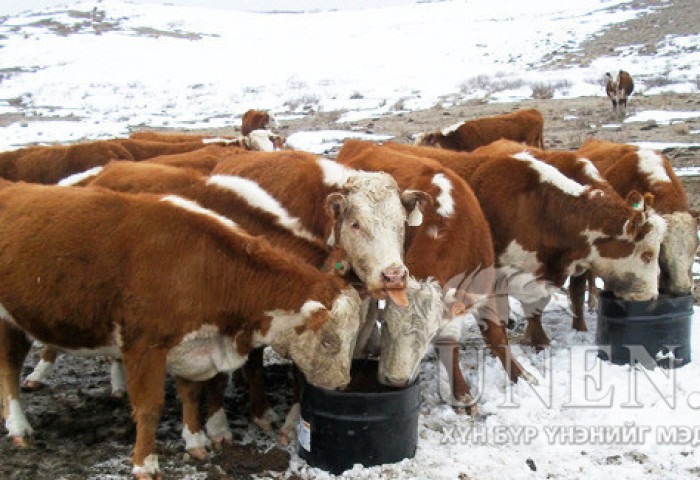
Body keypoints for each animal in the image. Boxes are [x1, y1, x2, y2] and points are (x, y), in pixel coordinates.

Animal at [0, 182, 360, 478]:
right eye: (329, 342)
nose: (342, 386)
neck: (201, 265)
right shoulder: (144, 346)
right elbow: (150, 408)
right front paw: (145, 464)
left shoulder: (192, 345)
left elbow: (192, 393)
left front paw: (196, 440)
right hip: (7, 322)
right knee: (10, 372)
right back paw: (19, 427)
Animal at [336, 140, 532, 412]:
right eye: (387, 326)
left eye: (429, 335)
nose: (396, 381)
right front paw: (463, 394)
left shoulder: (479, 289)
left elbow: (494, 336)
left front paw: (521, 375)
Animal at [378, 141, 668, 346]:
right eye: (646, 254)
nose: (652, 297)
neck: (541, 208)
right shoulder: (503, 271)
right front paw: (536, 340)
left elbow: (550, 302)